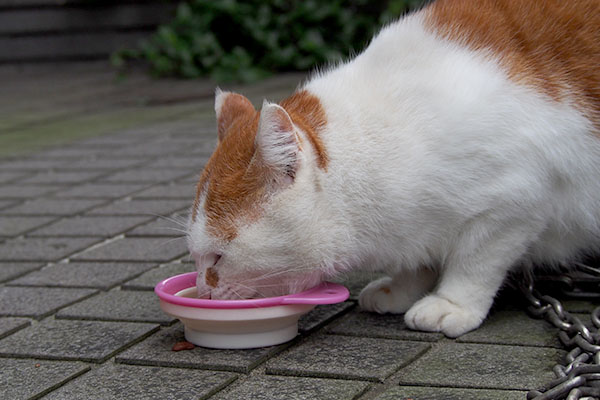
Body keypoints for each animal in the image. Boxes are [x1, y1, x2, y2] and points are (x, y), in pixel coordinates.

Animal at [186, 0, 596, 338]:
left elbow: (474, 262)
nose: (204, 290)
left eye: (218, 257)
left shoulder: (516, 204)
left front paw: (452, 302)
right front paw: (401, 287)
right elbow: (418, 257)